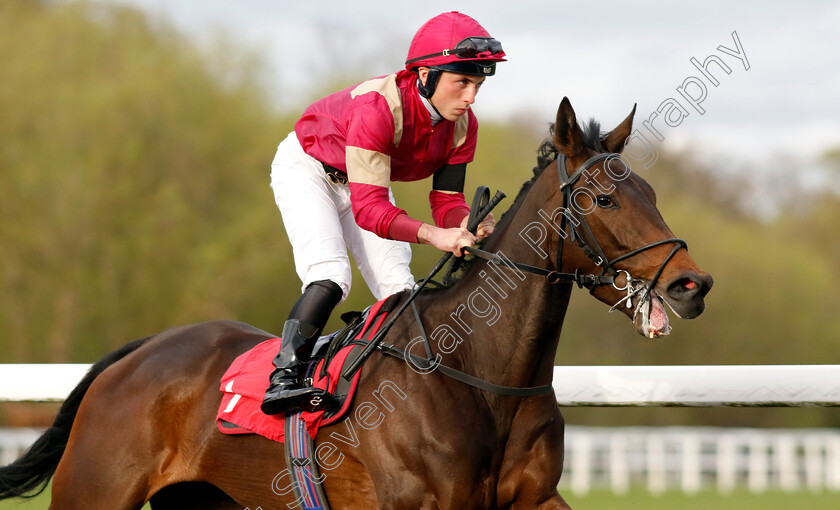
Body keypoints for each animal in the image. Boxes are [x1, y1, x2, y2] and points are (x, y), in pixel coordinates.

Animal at [0, 97, 712, 508]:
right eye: (603, 199)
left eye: (650, 191)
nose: (692, 284)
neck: (484, 376)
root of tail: (136, 355)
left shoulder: (534, 501)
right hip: (95, 493)